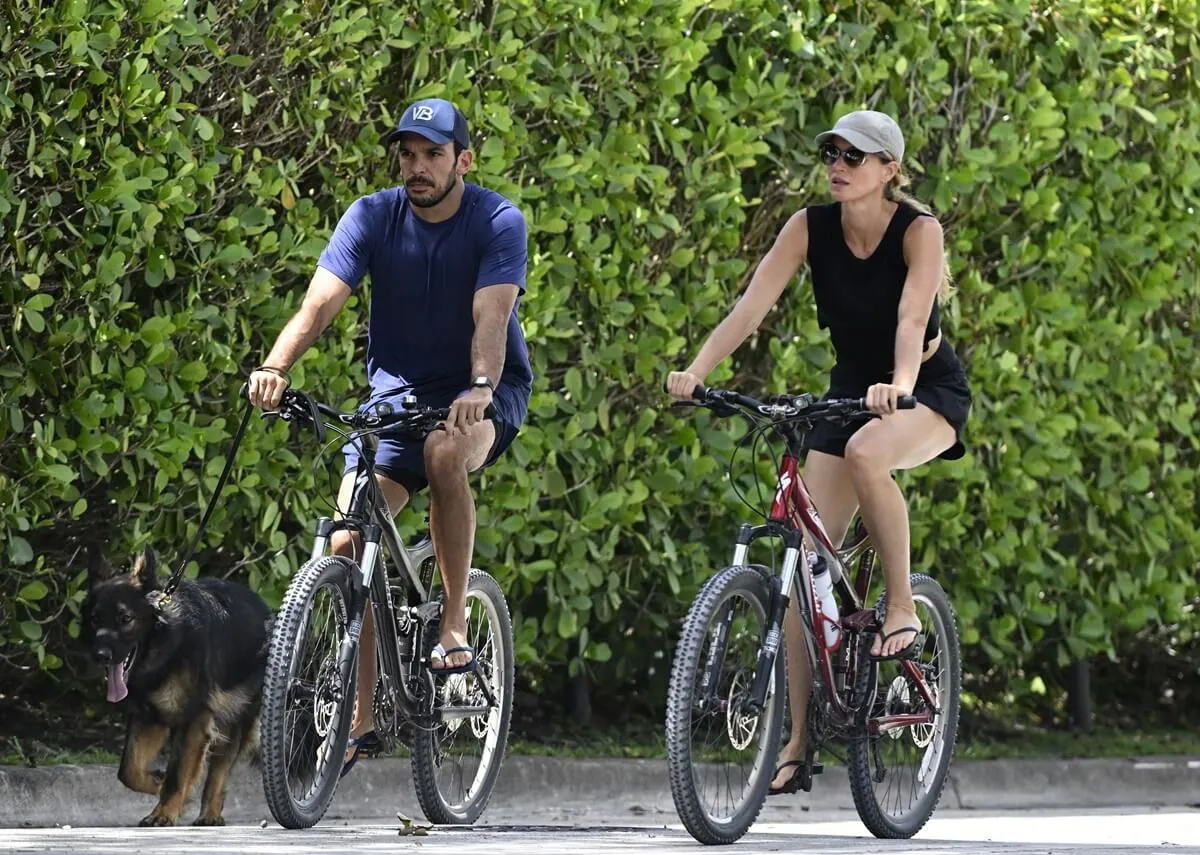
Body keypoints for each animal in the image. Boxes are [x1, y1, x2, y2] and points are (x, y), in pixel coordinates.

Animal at [82, 547, 274, 826]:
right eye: (96, 620)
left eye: (125, 618)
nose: (100, 655)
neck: (168, 642)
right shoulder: (149, 717)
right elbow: (128, 770)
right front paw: (156, 783)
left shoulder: (194, 720)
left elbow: (177, 775)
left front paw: (164, 812)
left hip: (236, 718)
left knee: (220, 770)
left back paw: (210, 813)